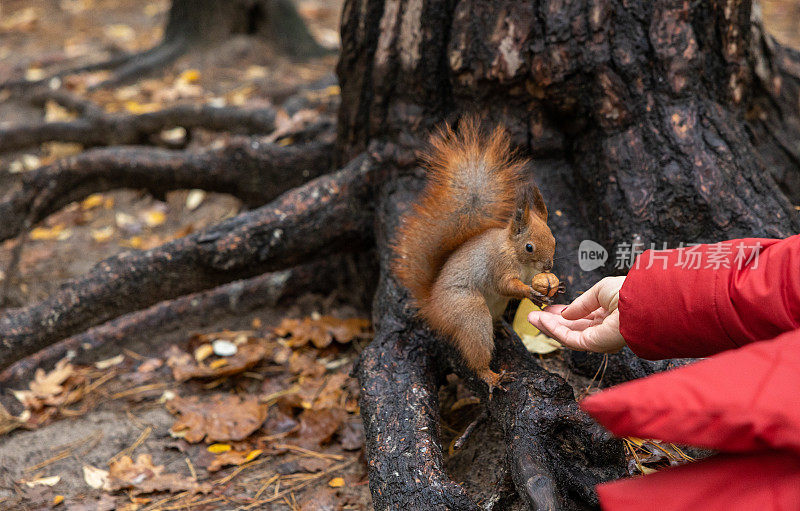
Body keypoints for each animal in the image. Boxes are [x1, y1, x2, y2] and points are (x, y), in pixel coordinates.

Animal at [390, 118, 552, 394]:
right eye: (529, 247)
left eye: (553, 238)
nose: (549, 265)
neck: (515, 253)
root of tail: (432, 307)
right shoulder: (499, 264)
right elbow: (506, 285)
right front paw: (530, 292)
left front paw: (550, 290)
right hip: (468, 311)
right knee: (476, 349)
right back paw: (490, 376)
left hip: (496, 305)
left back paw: (500, 329)